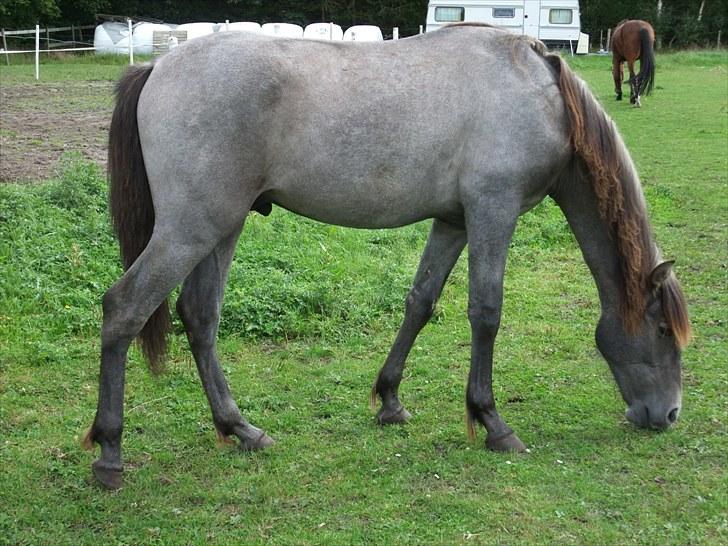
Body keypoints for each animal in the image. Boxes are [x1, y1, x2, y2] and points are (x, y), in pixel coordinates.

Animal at [82, 23, 692, 486]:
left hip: (220, 227)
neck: (541, 95)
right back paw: (110, 454)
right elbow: (486, 311)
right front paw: (492, 423)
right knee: (124, 309)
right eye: (663, 331)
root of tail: (157, 68)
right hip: (190, 228)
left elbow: (421, 301)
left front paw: (390, 400)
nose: (668, 415)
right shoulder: (493, 210)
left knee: (199, 317)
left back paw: (241, 429)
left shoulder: (453, 220)